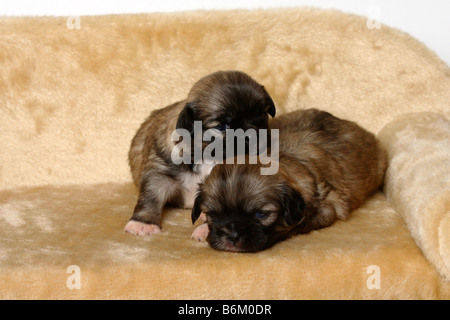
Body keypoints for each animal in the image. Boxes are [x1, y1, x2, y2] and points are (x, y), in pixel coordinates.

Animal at [125, 70, 276, 235]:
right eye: (222, 126)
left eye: (262, 114)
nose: (252, 135)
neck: (206, 155)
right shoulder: (160, 173)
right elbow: (151, 196)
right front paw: (143, 222)